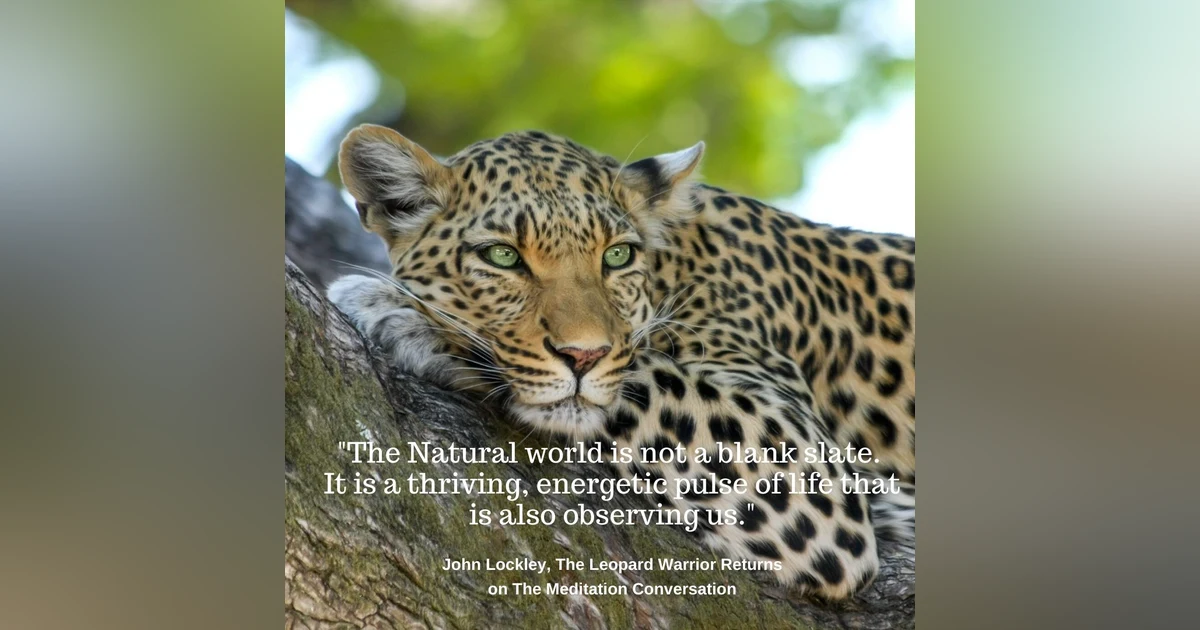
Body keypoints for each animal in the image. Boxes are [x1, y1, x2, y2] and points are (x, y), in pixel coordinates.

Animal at [326, 124, 915, 600]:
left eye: (617, 256)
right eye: (502, 256)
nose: (583, 355)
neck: (678, 266)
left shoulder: (809, 467)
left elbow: (638, 375)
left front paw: (399, 312)